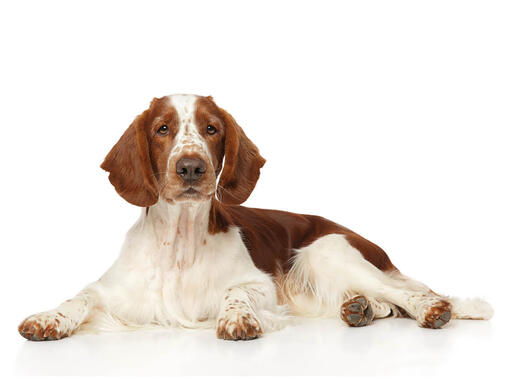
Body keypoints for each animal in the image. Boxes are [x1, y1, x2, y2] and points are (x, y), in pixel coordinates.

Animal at [17, 93, 492, 342]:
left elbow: (237, 293)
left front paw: (236, 319)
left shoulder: (264, 286)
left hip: (326, 251)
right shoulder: (112, 292)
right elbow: (78, 298)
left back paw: (431, 310)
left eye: (211, 128)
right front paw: (46, 318)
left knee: (413, 293)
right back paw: (359, 309)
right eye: (162, 129)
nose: (191, 168)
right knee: (385, 301)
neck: (182, 244)